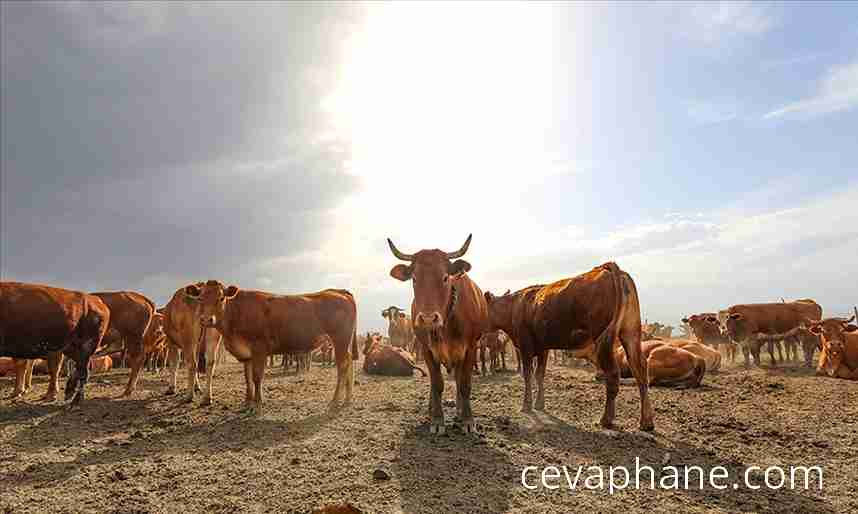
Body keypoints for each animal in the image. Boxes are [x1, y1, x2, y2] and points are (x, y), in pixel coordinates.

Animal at [182, 280, 356, 412]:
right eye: (200, 298)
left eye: (221, 298)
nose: (206, 320)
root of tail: (339, 291)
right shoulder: (247, 354)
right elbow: (247, 378)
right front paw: (247, 402)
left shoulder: (259, 349)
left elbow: (257, 377)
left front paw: (257, 404)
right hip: (343, 342)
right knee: (349, 361)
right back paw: (347, 399)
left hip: (340, 339)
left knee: (342, 366)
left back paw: (335, 401)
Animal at [388, 233, 488, 432]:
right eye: (414, 278)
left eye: (445, 277)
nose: (428, 318)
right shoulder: (427, 350)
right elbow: (437, 384)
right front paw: (437, 419)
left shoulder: (470, 348)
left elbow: (465, 384)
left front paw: (467, 419)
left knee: (458, 379)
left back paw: (459, 409)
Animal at [484, 262, 652, 430]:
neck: (514, 306)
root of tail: (608, 268)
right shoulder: (543, 348)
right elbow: (539, 375)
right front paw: (540, 404)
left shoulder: (526, 346)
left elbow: (528, 375)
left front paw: (527, 406)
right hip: (631, 333)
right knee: (640, 371)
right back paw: (646, 422)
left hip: (603, 339)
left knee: (612, 374)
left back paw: (606, 419)